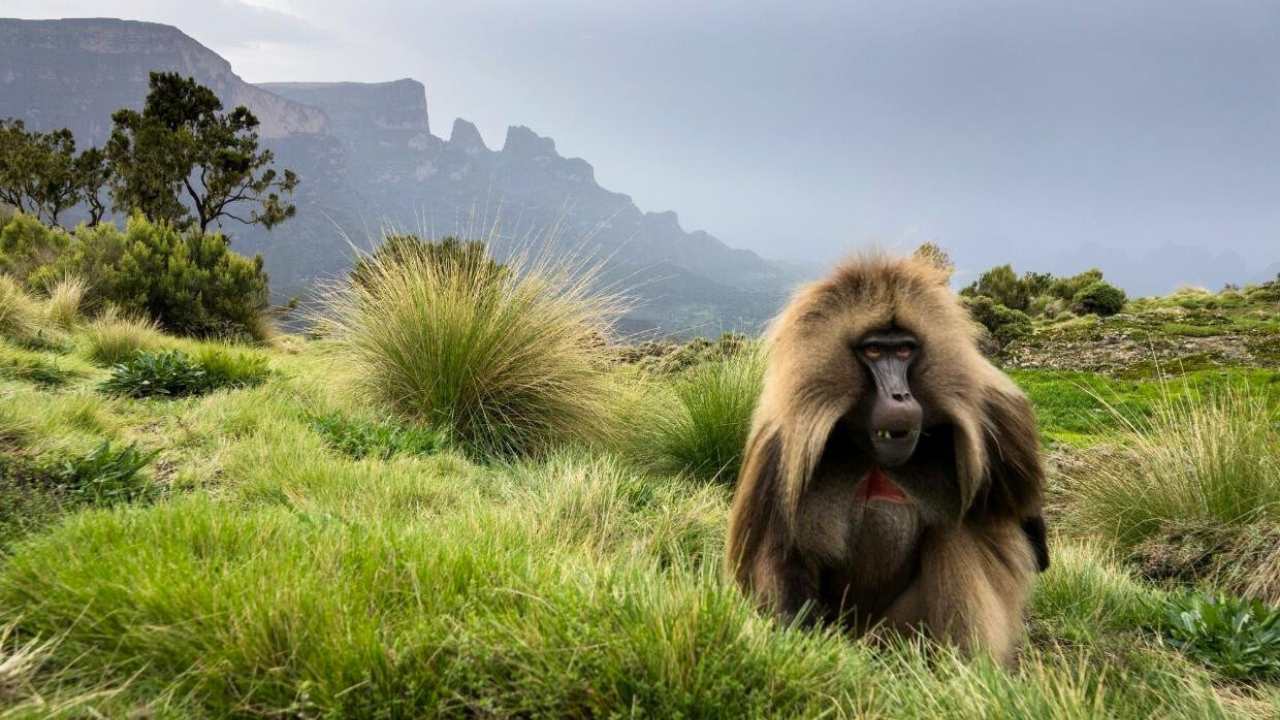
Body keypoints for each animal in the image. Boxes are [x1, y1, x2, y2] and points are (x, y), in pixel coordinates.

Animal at [725, 254, 1048, 665]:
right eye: (875, 351)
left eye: (906, 350)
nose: (900, 396)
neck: (870, 453)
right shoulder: (779, 448)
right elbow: (776, 556)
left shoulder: (999, 421)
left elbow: (1029, 537)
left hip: (893, 637)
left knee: (953, 532)